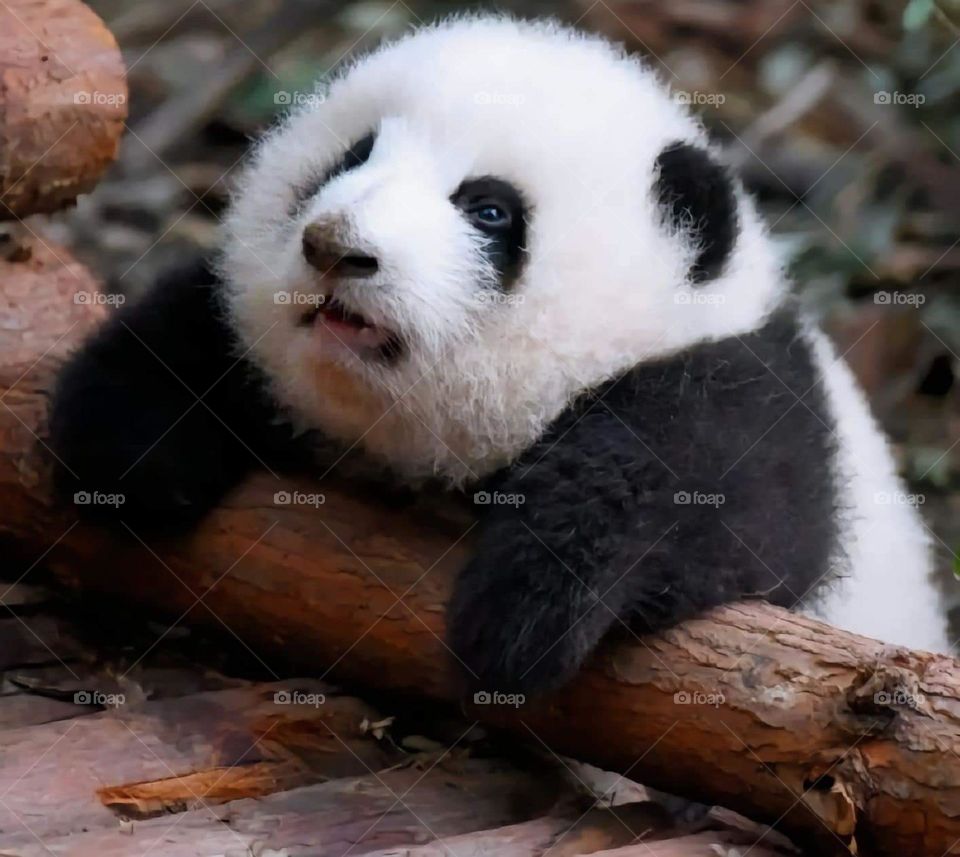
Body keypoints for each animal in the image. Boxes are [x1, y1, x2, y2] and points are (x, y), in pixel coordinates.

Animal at [49, 15, 950, 694]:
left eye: (488, 210)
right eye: (350, 158)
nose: (336, 249)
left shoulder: (749, 400)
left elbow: (704, 496)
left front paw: (526, 611)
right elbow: (196, 336)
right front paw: (128, 446)